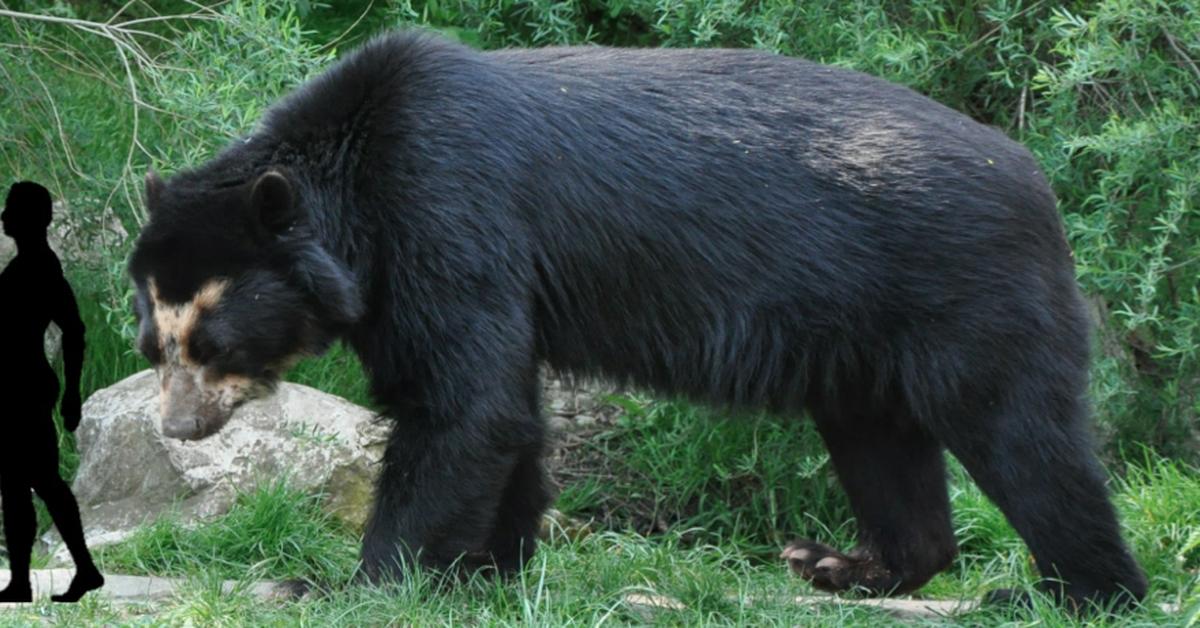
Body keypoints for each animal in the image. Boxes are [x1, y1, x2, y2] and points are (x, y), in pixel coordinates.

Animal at [126, 30, 1147, 609]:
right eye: (152, 341)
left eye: (211, 341)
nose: (177, 428)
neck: (356, 200)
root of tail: (1040, 187)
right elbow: (504, 412)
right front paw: (489, 571)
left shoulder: (449, 217)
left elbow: (462, 405)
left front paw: (352, 585)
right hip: (865, 346)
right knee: (885, 447)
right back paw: (840, 567)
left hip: (970, 298)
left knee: (1026, 442)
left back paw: (1068, 595)